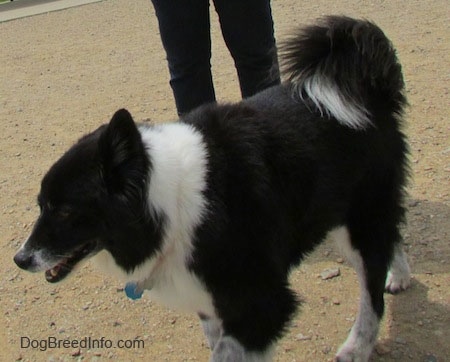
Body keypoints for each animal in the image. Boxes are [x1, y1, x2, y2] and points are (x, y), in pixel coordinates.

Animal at [14, 17, 412, 362]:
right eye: (41, 205)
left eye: (65, 210)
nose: (20, 259)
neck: (172, 204)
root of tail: (370, 85)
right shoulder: (210, 300)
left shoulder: (262, 303)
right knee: (392, 240)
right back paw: (400, 276)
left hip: (362, 218)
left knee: (372, 294)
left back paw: (357, 346)